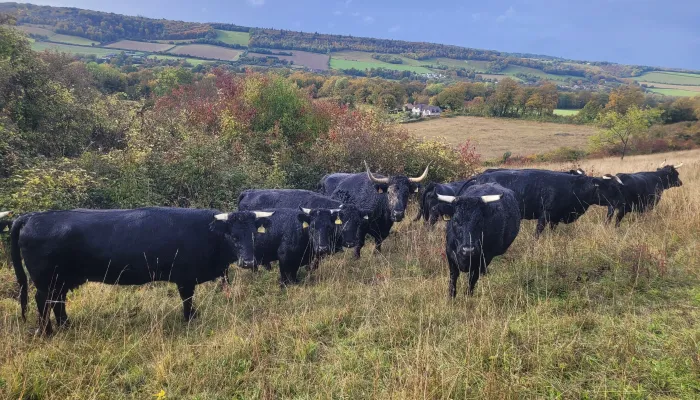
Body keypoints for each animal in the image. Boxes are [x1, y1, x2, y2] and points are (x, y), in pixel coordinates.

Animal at [10, 207, 273, 335]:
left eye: (253, 233)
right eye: (232, 235)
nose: (248, 262)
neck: (207, 232)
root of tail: (31, 216)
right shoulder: (185, 277)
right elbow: (187, 299)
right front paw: (190, 318)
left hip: (62, 279)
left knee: (58, 301)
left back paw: (66, 325)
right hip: (46, 280)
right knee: (43, 301)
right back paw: (48, 331)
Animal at [472, 168, 625, 237]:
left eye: (618, 187)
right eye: (611, 188)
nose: (621, 202)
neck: (573, 187)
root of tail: (481, 176)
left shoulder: (556, 217)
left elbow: (552, 230)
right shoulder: (545, 214)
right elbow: (538, 232)